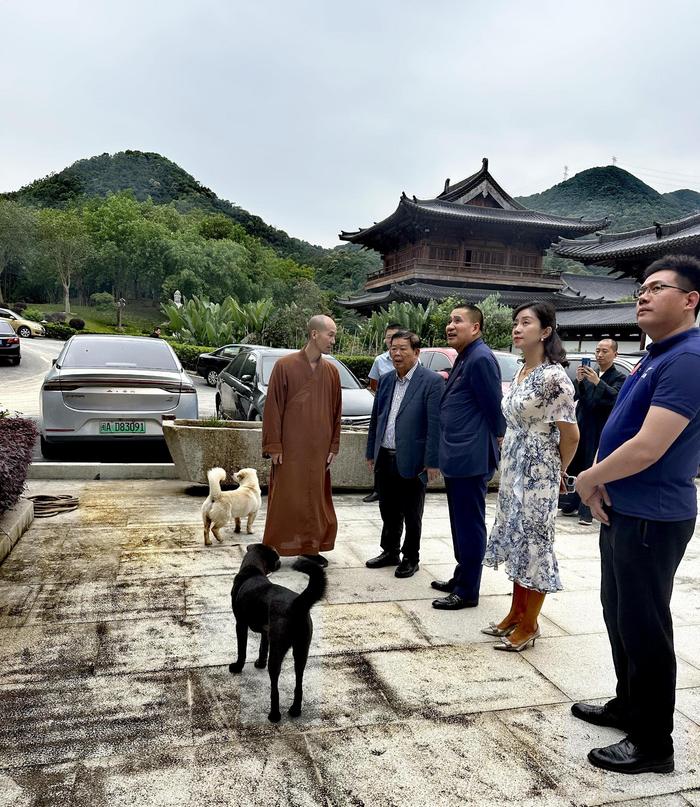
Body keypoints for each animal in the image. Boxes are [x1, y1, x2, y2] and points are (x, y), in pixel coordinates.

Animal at [230, 544, 328, 724]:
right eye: (275, 556)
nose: (280, 560)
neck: (252, 570)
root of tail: (297, 604)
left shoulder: (240, 624)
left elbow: (242, 650)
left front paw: (237, 667)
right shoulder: (265, 630)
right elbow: (262, 648)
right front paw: (259, 663)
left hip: (277, 652)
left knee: (275, 688)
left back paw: (274, 715)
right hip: (301, 650)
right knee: (299, 682)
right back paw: (295, 710)